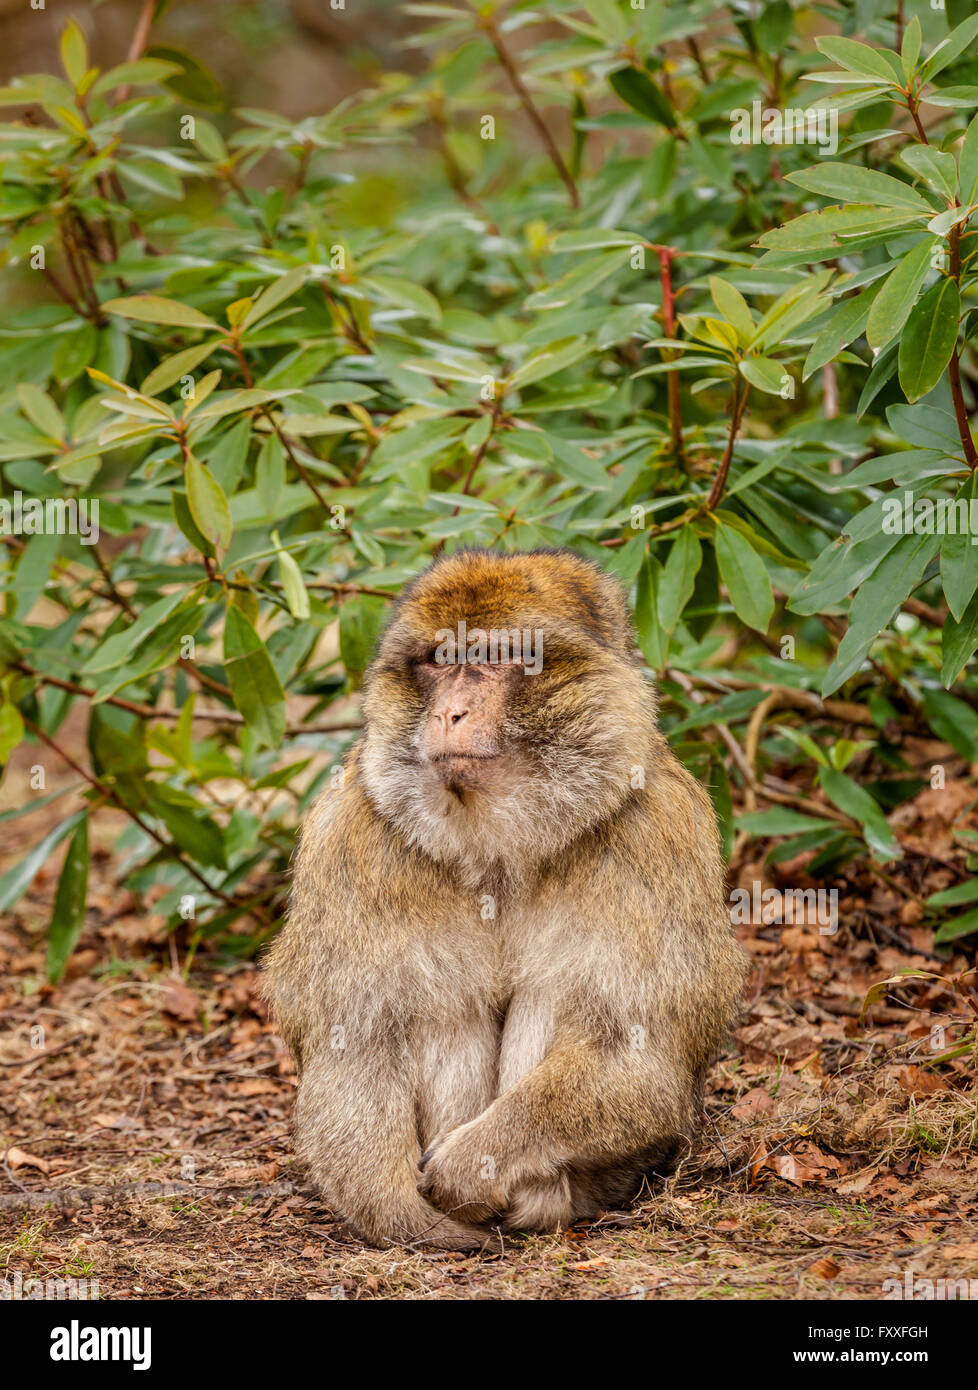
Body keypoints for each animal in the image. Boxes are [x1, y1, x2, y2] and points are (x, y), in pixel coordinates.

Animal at [263, 542, 744, 1251]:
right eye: (439, 661)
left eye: (494, 658)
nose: (449, 714)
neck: (498, 842)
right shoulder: (350, 834)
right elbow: (357, 1037)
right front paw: (403, 1214)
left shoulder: (656, 827)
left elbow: (637, 1050)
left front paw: (472, 1165)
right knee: (440, 1003)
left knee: (552, 993)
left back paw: (535, 1201)